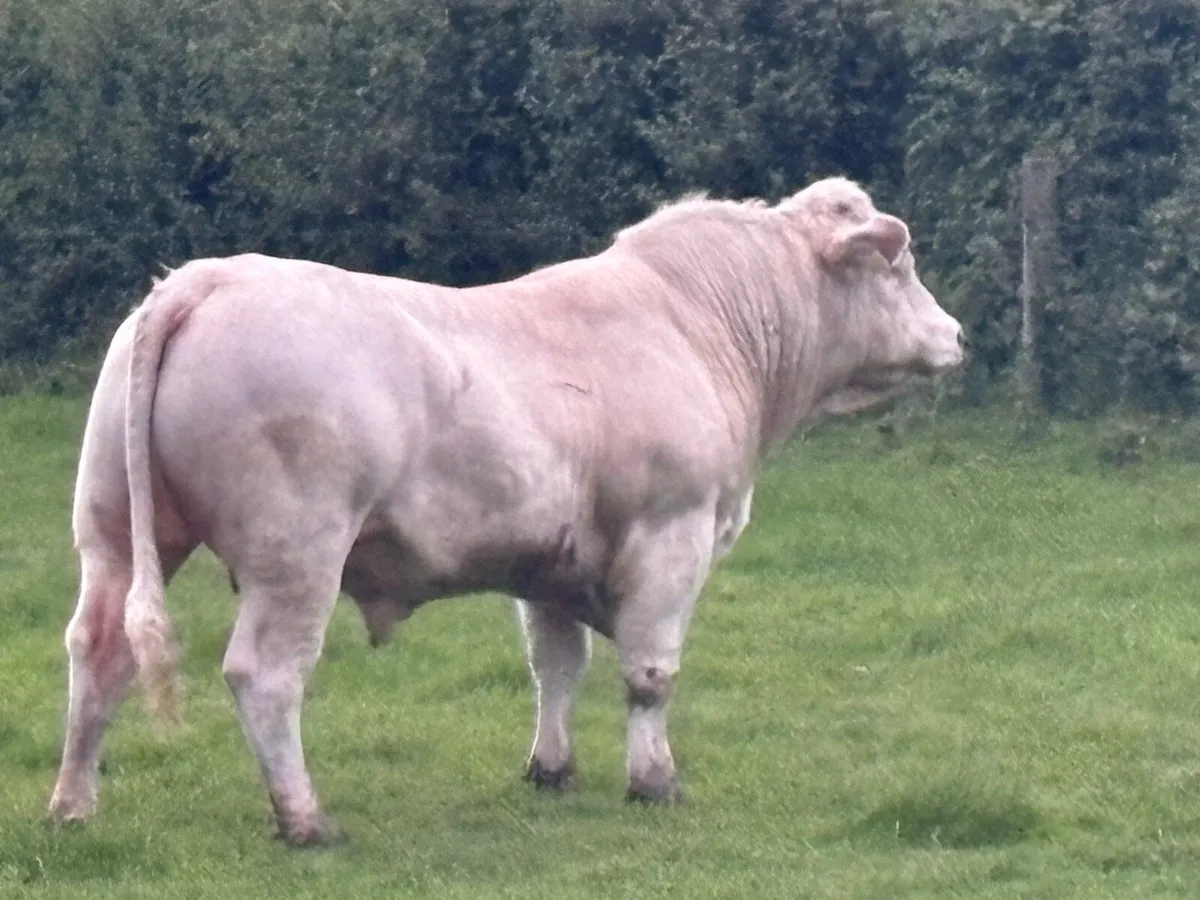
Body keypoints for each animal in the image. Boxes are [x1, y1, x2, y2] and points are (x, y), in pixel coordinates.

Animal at [47, 177, 965, 845]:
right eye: (899, 264)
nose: (956, 335)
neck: (698, 327)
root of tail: (208, 275)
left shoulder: (549, 561)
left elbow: (556, 667)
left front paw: (551, 771)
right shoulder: (673, 533)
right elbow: (650, 675)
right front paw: (654, 782)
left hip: (115, 533)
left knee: (99, 653)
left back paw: (73, 805)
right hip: (296, 555)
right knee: (264, 676)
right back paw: (304, 819)